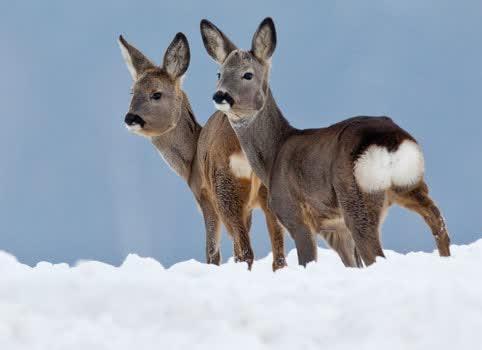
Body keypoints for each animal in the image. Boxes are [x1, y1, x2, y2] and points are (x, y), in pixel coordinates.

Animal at [199, 17, 448, 266]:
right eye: (219, 74)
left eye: (247, 74)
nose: (220, 96)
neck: (273, 156)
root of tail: (390, 141)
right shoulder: (335, 228)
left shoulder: (294, 214)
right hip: (411, 184)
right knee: (439, 224)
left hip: (356, 198)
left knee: (375, 253)